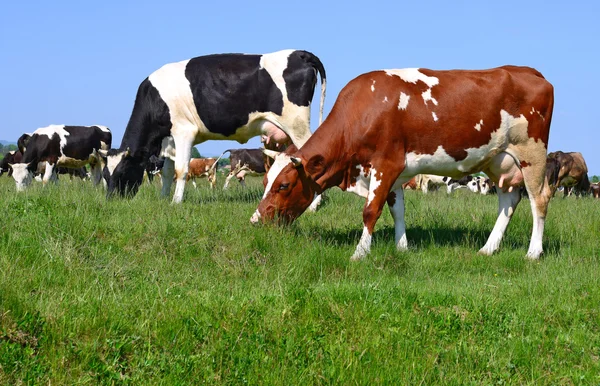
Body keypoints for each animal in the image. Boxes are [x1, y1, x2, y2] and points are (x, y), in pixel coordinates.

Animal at [104, 48, 328, 202]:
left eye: (122, 172)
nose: (111, 199)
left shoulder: (184, 132)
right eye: (106, 174)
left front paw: (175, 202)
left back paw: (315, 204)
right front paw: (163, 199)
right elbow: (168, 173)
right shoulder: (169, 140)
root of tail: (299, 53)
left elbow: (181, 170)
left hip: (297, 125)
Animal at [251, 65, 556, 260]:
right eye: (265, 180)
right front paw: (402, 247)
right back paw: (488, 249)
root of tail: (530, 71)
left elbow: (370, 211)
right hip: (500, 160)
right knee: (509, 200)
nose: (256, 220)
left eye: (283, 185)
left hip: (532, 153)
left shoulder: (385, 164)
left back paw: (533, 252)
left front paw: (360, 253)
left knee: (539, 198)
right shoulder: (395, 172)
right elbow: (397, 211)